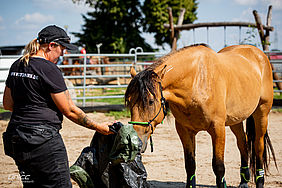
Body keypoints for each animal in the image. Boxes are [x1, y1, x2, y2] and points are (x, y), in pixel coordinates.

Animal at [125, 44, 278, 188]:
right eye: (129, 101)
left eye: (151, 101)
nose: (135, 143)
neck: (196, 81)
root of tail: (259, 55)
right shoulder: (185, 130)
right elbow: (190, 165)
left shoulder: (218, 129)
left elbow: (219, 167)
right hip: (236, 120)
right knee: (242, 142)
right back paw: (244, 182)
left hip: (262, 114)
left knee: (258, 145)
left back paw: (259, 181)